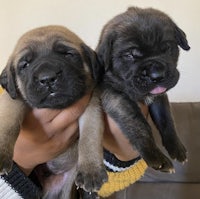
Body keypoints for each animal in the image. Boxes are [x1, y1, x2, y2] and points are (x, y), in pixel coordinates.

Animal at [0, 25, 108, 198]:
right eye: (25, 65)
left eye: (68, 55)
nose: (48, 78)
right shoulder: (12, 98)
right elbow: (8, 121)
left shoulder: (92, 103)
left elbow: (90, 134)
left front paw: (91, 169)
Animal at [96, 6, 190, 173]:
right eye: (131, 55)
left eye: (167, 48)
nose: (156, 75)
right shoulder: (116, 97)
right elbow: (138, 123)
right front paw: (155, 156)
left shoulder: (159, 97)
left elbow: (166, 119)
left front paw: (176, 147)